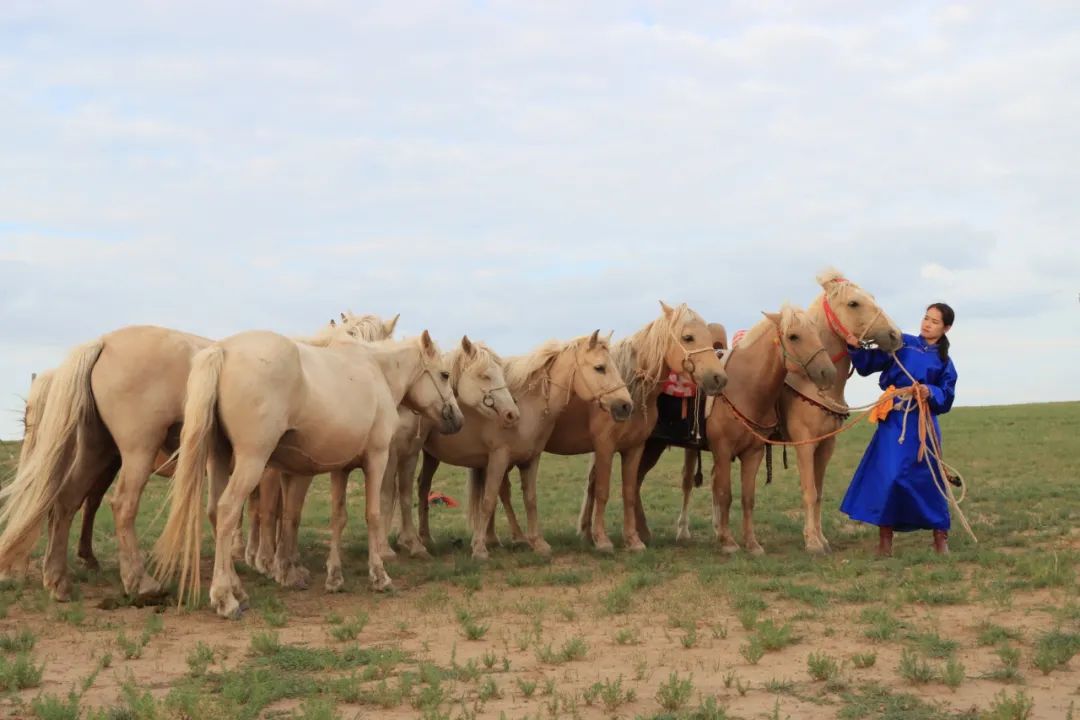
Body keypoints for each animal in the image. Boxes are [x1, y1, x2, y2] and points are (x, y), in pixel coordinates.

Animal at [0, 315, 388, 604]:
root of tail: (104, 342)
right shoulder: (279, 469)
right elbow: (275, 514)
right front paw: (274, 566)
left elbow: (264, 515)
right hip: (136, 453)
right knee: (120, 505)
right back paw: (140, 581)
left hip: (99, 451)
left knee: (66, 501)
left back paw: (59, 579)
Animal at [410, 330, 630, 561]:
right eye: (600, 368)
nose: (626, 405)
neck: (526, 409)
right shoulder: (498, 458)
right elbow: (488, 500)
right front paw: (479, 548)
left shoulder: (531, 460)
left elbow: (530, 499)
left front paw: (538, 543)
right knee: (422, 488)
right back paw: (424, 539)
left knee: (423, 487)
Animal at [544, 302, 730, 557]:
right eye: (688, 337)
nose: (718, 378)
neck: (629, 386)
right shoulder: (605, 446)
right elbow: (602, 490)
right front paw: (602, 540)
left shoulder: (635, 446)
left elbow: (629, 491)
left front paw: (632, 539)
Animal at [635, 304, 838, 552]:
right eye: (793, 336)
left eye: (816, 332)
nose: (828, 372)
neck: (744, 388)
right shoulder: (722, 450)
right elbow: (724, 494)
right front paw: (728, 541)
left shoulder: (754, 453)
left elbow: (748, 498)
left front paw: (751, 543)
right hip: (649, 446)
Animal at [781, 267, 907, 557]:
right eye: (853, 303)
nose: (896, 335)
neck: (812, 381)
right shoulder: (805, 443)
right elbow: (809, 491)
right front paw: (813, 543)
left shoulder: (826, 444)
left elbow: (819, 493)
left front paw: (821, 538)